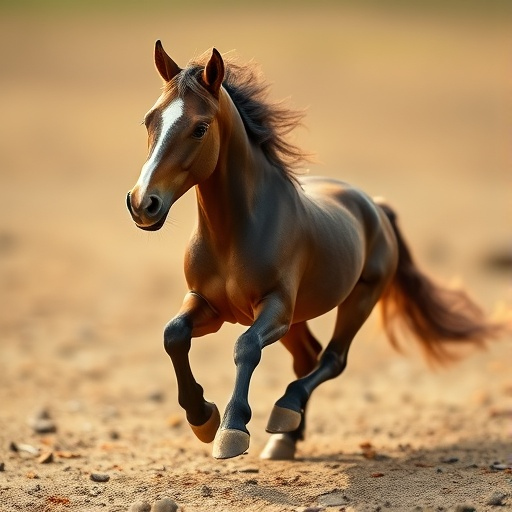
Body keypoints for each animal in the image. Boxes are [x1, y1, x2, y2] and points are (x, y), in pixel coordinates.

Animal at [126, 41, 502, 460]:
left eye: (200, 128)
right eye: (149, 121)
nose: (143, 204)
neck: (235, 234)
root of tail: (374, 206)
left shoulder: (274, 307)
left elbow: (246, 348)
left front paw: (231, 429)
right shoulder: (209, 305)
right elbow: (174, 335)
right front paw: (202, 418)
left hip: (358, 299)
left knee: (331, 359)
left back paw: (285, 411)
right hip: (298, 319)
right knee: (307, 357)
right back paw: (285, 437)